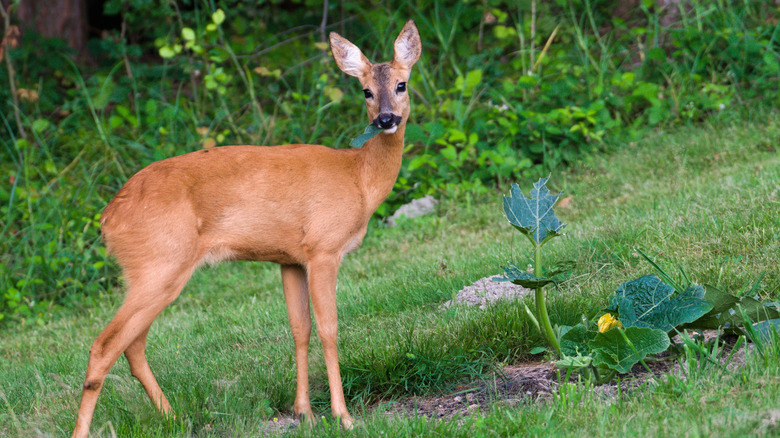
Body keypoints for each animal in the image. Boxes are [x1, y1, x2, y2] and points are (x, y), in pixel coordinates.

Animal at [71, 19, 421, 437]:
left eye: (401, 84)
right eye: (366, 90)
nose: (385, 119)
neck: (359, 180)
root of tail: (108, 218)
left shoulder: (290, 258)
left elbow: (299, 329)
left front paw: (303, 411)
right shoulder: (324, 248)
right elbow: (328, 328)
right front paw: (343, 415)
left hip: (151, 271)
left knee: (132, 346)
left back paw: (175, 418)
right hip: (159, 264)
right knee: (104, 345)